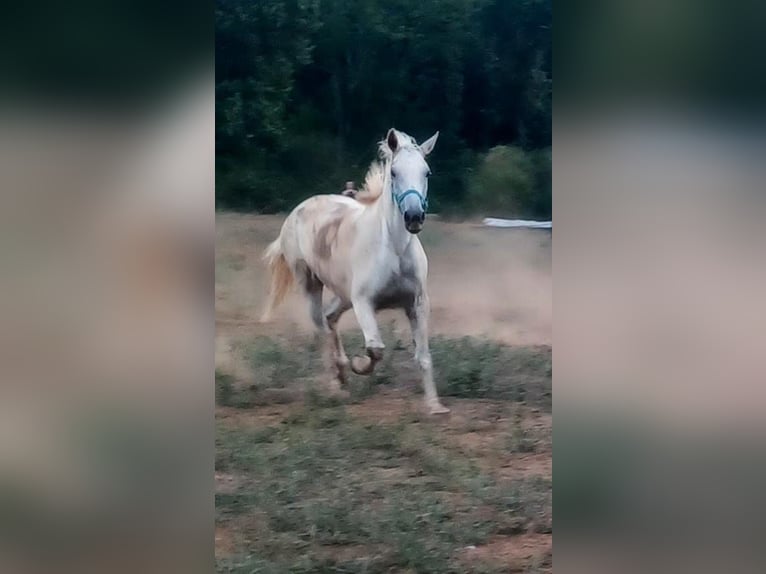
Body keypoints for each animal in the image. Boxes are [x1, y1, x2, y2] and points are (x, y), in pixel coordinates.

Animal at [260, 128, 449, 415]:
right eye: (394, 173)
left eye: (426, 172)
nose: (414, 217)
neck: (393, 250)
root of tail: (301, 208)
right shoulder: (364, 302)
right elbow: (376, 349)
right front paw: (358, 365)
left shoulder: (416, 304)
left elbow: (423, 356)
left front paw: (435, 406)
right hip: (311, 284)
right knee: (321, 327)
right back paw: (337, 382)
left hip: (344, 295)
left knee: (330, 318)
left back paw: (341, 375)